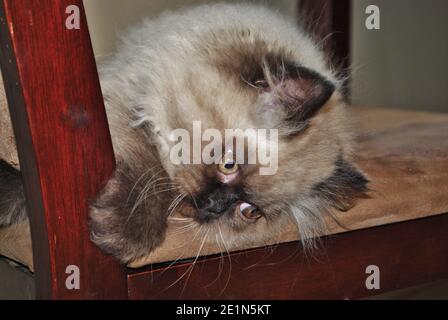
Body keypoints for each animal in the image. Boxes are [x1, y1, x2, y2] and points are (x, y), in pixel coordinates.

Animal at [0, 3, 368, 264]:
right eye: (228, 164)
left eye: (249, 211)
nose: (214, 206)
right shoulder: (125, 99)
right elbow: (148, 166)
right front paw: (123, 232)